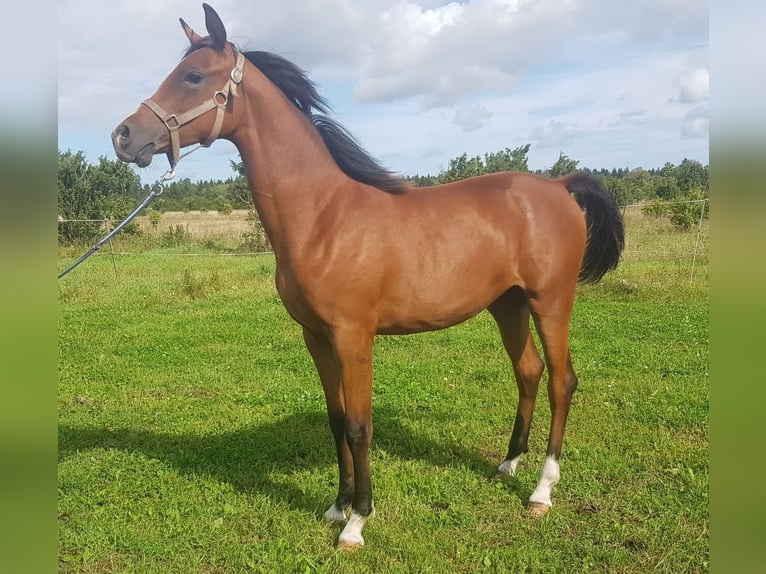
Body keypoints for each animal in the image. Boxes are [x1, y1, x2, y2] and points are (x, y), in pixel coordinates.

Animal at [112, 3, 624, 549]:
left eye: (192, 76)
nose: (123, 135)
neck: (323, 217)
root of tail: (558, 186)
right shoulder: (315, 336)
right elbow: (336, 420)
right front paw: (336, 506)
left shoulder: (354, 337)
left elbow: (360, 425)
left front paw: (357, 521)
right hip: (507, 303)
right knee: (528, 371)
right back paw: (507, 464)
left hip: (551, 302)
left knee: (561, 381)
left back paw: (541, 491)